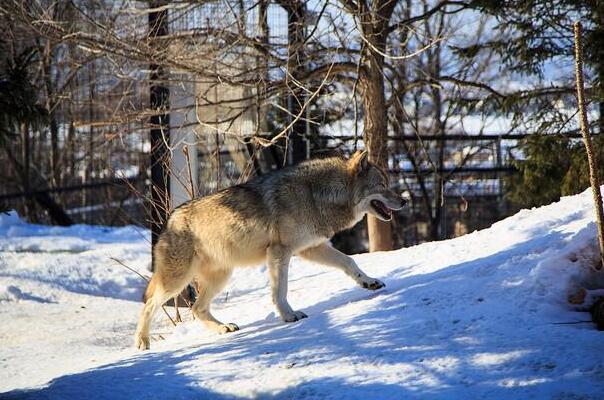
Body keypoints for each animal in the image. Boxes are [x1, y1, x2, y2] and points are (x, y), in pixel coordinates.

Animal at [133, 152, 406, 348]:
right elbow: (280, 291)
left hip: (221, 277)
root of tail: (169, 220)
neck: (316, 195)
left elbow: (350, 262)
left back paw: (223, 328)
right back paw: (143, 342)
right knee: (149, 305)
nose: (404, 200)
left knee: (197, 309)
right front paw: (289, 315)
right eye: (383, 185)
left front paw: (369, 282)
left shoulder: (312, 248)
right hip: (178, 281)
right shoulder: (279, 252)